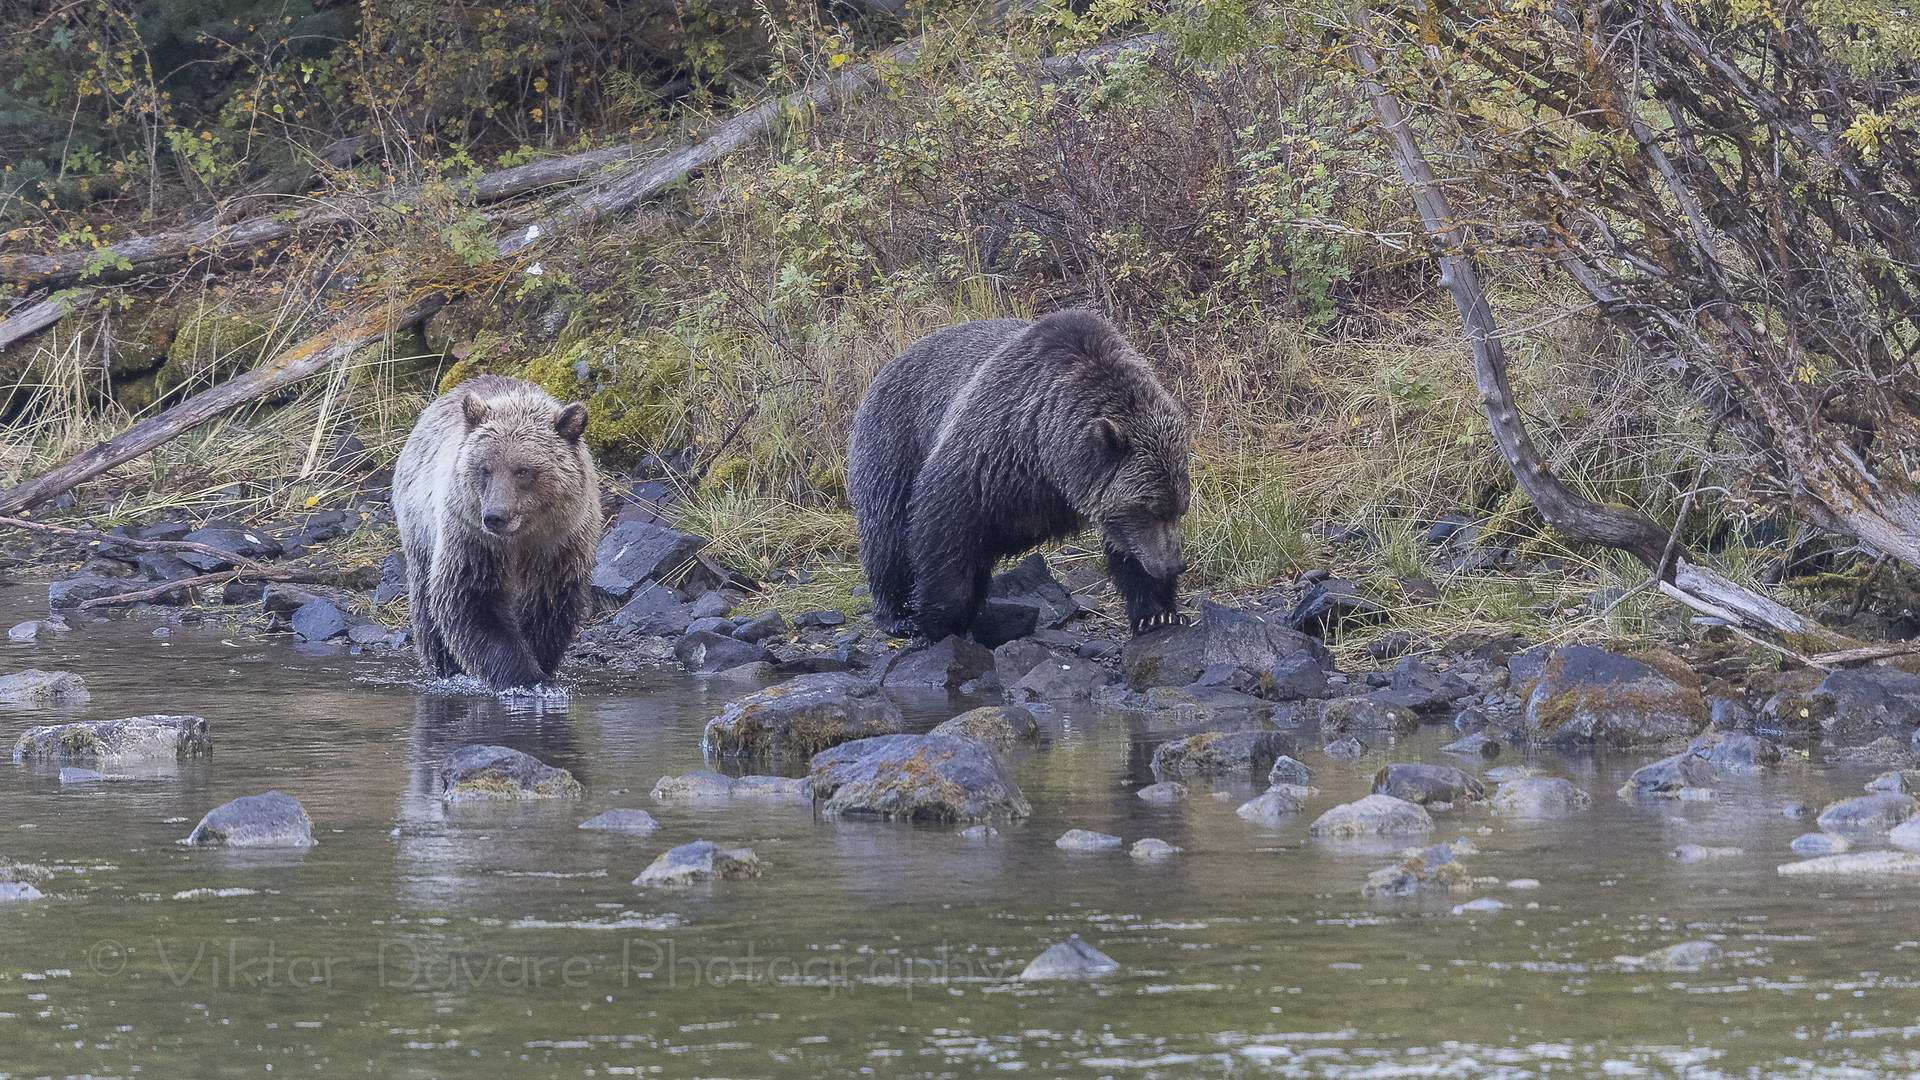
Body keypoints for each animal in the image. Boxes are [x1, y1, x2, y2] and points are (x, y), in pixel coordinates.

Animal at [391, 374, 595, 684]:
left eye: (523, 470)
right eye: (484, 469)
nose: (495, 516)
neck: (521, 538)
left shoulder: (559, 543)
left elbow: (549, 605)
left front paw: (540, 664)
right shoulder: (473, 539)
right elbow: (471, 601)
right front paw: (526, 676)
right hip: (420, 527)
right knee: (426, 604)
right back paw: (444, 665)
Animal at [852, 309, 1190, 638]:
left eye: (1178, 510)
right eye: (1150, 510)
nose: (1174, 565)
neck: (1048, 454)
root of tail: (891, 362)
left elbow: (1126, 548)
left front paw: (1157, 614)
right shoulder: (989, 450)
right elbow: (943, 526)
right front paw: (939, 619)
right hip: (895, 438)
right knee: (887, 531)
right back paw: (897, 615)